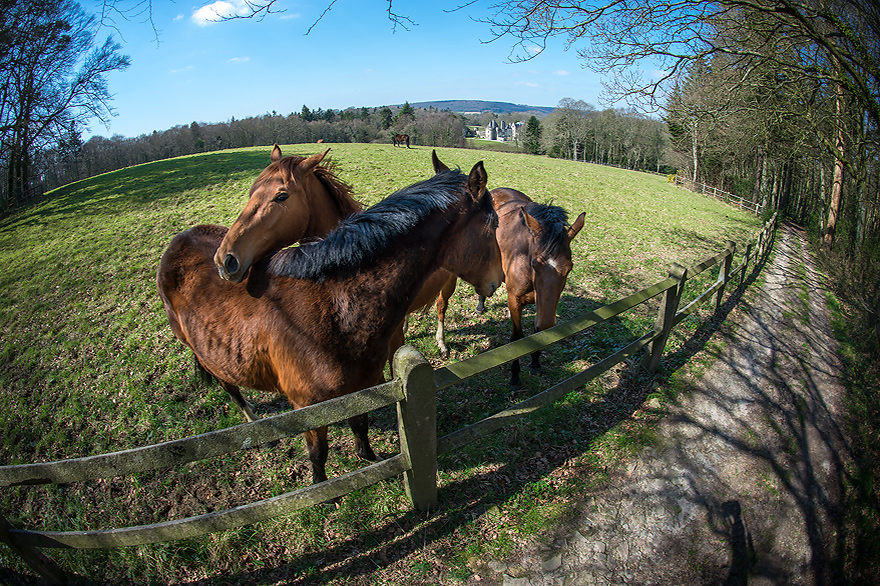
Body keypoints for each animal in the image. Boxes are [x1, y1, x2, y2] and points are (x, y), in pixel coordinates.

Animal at [156, 159, 502, 480]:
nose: (227, 261)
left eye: (281, 195)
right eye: (494, 224)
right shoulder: (309, 407)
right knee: (229, 385)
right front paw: (325, 490)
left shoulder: (362, 386)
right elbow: (319, 453)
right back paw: (253, 422)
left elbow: (360, 425)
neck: (336, 306)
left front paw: (370, 460)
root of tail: (179, 240)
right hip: (207, 352)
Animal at [434, 189, 584, 386]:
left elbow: (536, 330)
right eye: (535, 264)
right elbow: (517, 338)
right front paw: (515, 375)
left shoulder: (542, 304)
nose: (548, 324)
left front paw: (535, 362)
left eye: (569, 268)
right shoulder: (514, 300)